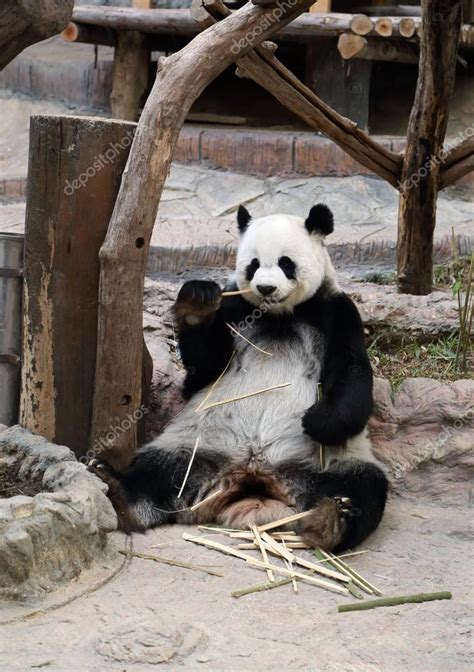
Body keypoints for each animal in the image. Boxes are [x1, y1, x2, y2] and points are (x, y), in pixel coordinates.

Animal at [90, 205, 388, 552]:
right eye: (254, 264)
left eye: (286, 263)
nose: (266, 288)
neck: (279, 317)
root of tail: (254, 477)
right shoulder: (234, 307)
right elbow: (207, 368)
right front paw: (196, 304)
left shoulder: (336, 313)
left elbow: (352, 376)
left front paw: (317, 421)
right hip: (198, 446)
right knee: (160, 471)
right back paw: (118, 490)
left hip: (329, 463)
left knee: (364, 487)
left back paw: (333, 520)